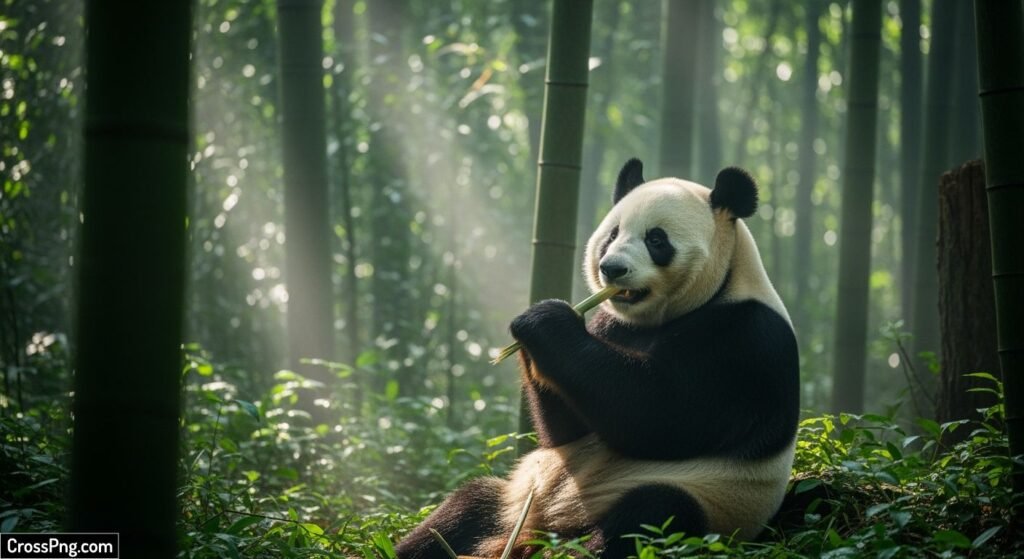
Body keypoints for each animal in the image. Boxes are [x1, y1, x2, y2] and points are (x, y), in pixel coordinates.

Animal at [396, 159, 799, 559]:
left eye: (656, 239)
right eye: (612, 234)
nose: (612, 268)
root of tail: (541, 534)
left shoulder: (744, 340)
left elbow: (658, 413)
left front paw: (545, 319)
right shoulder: (611, 324)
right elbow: (567, 429)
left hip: (704, 504)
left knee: (650, 513)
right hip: (517, 499)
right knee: (466, 506)